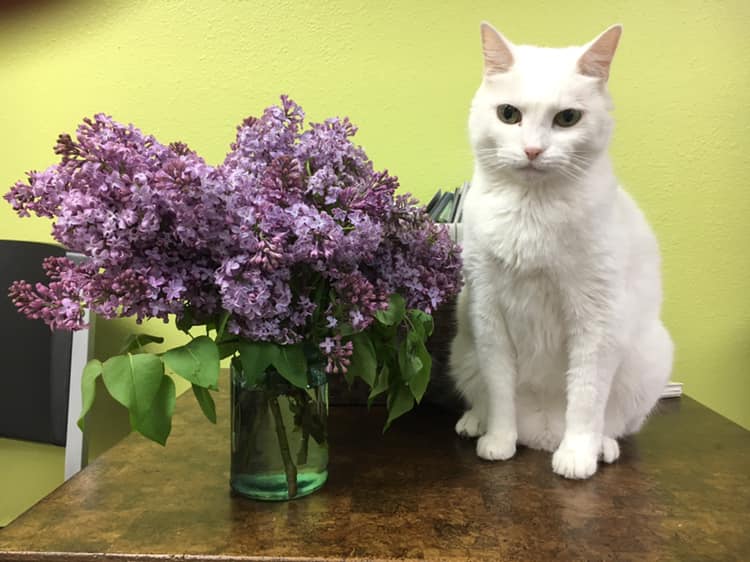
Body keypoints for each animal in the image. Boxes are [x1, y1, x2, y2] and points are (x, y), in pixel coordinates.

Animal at [450, 23, 680, 476]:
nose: (533, 150)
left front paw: (576, 456)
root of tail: (540, 432)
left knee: (613, 420)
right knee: (482, 397)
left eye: (567, 118)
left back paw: (601, 447)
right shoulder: (489, 315)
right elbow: (499, 391)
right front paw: (499, 441)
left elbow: (587, 397)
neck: (531, 210)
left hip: (650, 358)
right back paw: (474, 423)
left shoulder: (597, 320)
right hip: (462, 347)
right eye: (508, 114)